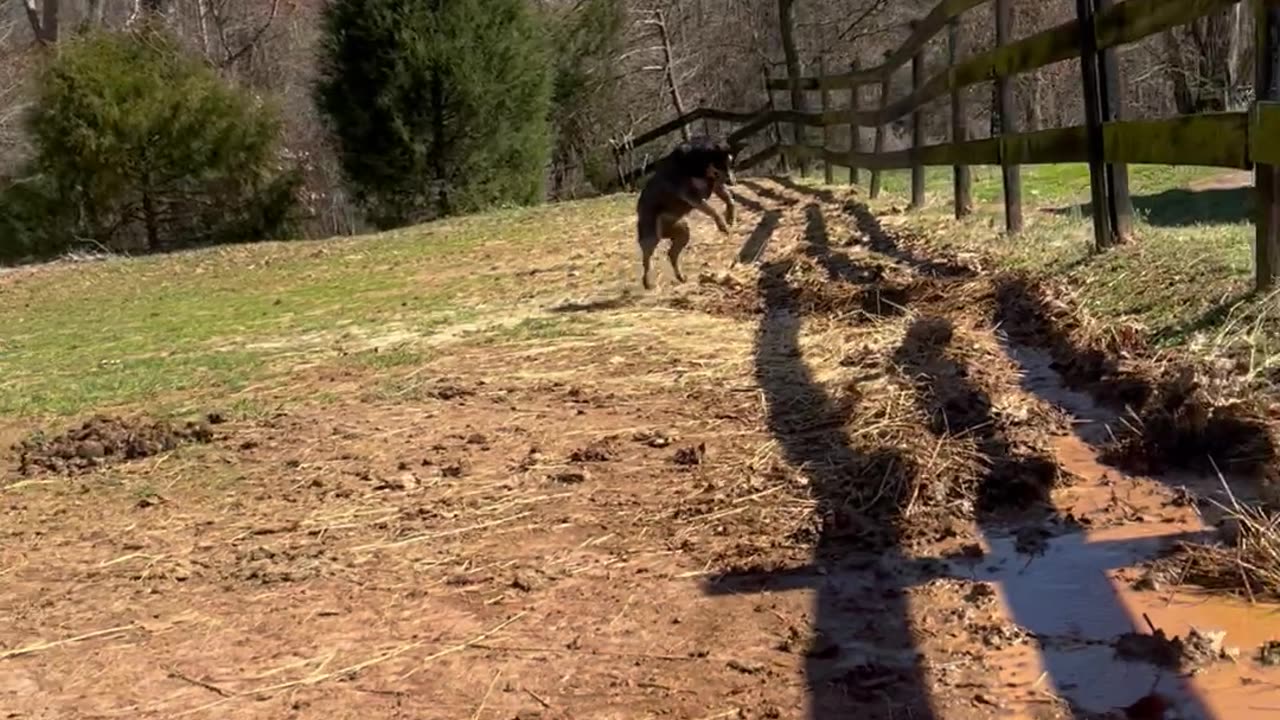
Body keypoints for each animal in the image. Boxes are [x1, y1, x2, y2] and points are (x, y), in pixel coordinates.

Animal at [632, 134, 737, 288]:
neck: (699, 162)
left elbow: (729, 199)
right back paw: (648, 281)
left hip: (682, 230)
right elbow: (712, 209)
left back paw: (680, 276)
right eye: (720, 164)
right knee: (647, 259)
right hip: (651, 236)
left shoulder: (715, 184)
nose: (732, 181)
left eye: (730, 163)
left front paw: (730, 217)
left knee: (672, 254)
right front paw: (722, 225)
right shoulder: (690, 194)